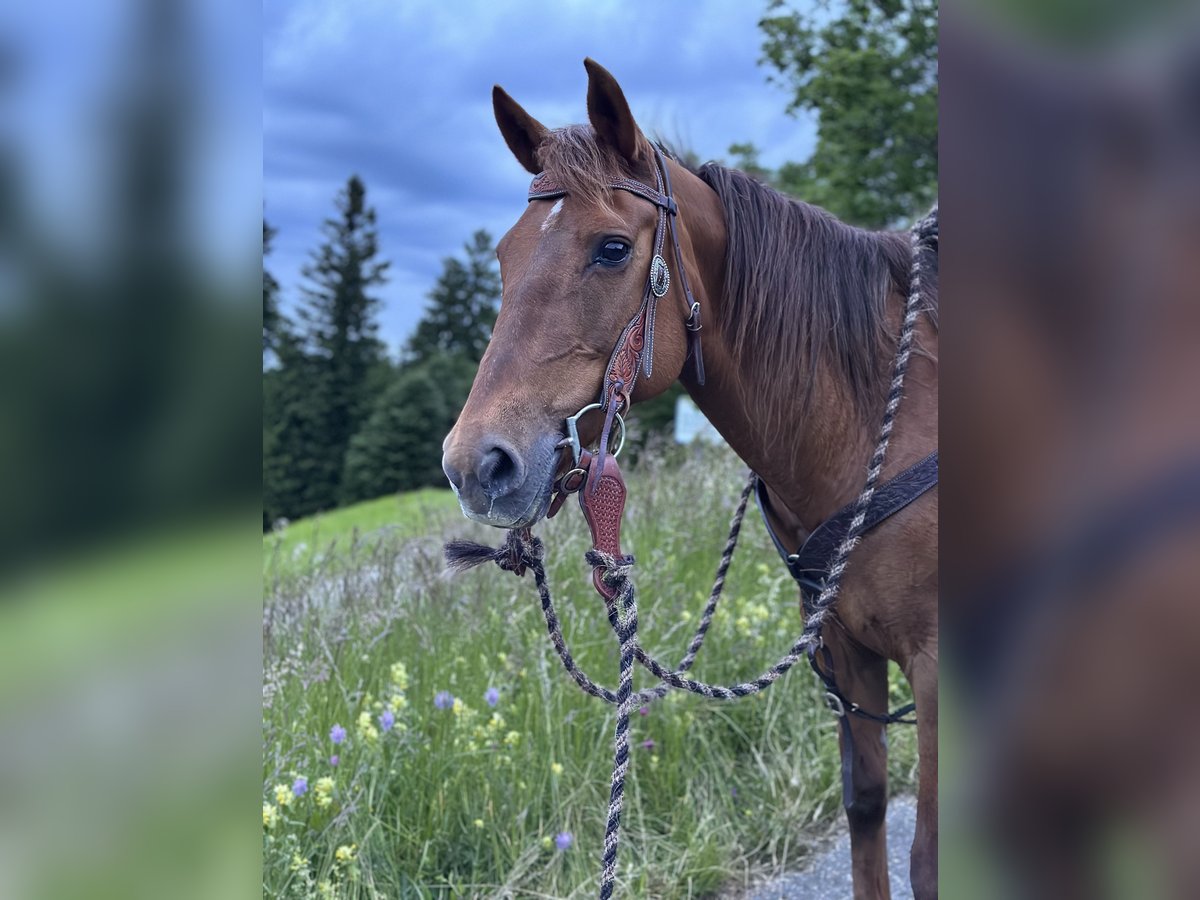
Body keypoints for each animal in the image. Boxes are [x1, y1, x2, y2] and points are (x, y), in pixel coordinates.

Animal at [441, 59, 939, 900]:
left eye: (612, 248)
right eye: (505, 258)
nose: (475, 464)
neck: (885, 414)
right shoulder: (845, 654)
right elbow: (867, 807)